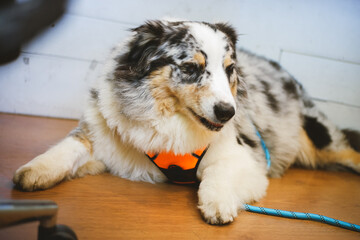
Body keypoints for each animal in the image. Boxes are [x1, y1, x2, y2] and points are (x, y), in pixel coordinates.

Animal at [12, 19, 358, 224]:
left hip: (320, 137)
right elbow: (66, 148)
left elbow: (218, 174)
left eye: (229, 70)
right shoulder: (101, 135)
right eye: (191, 68)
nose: (227, 112)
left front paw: (218, 202)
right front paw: (34, 172)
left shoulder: (244, 157)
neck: (171, 123)